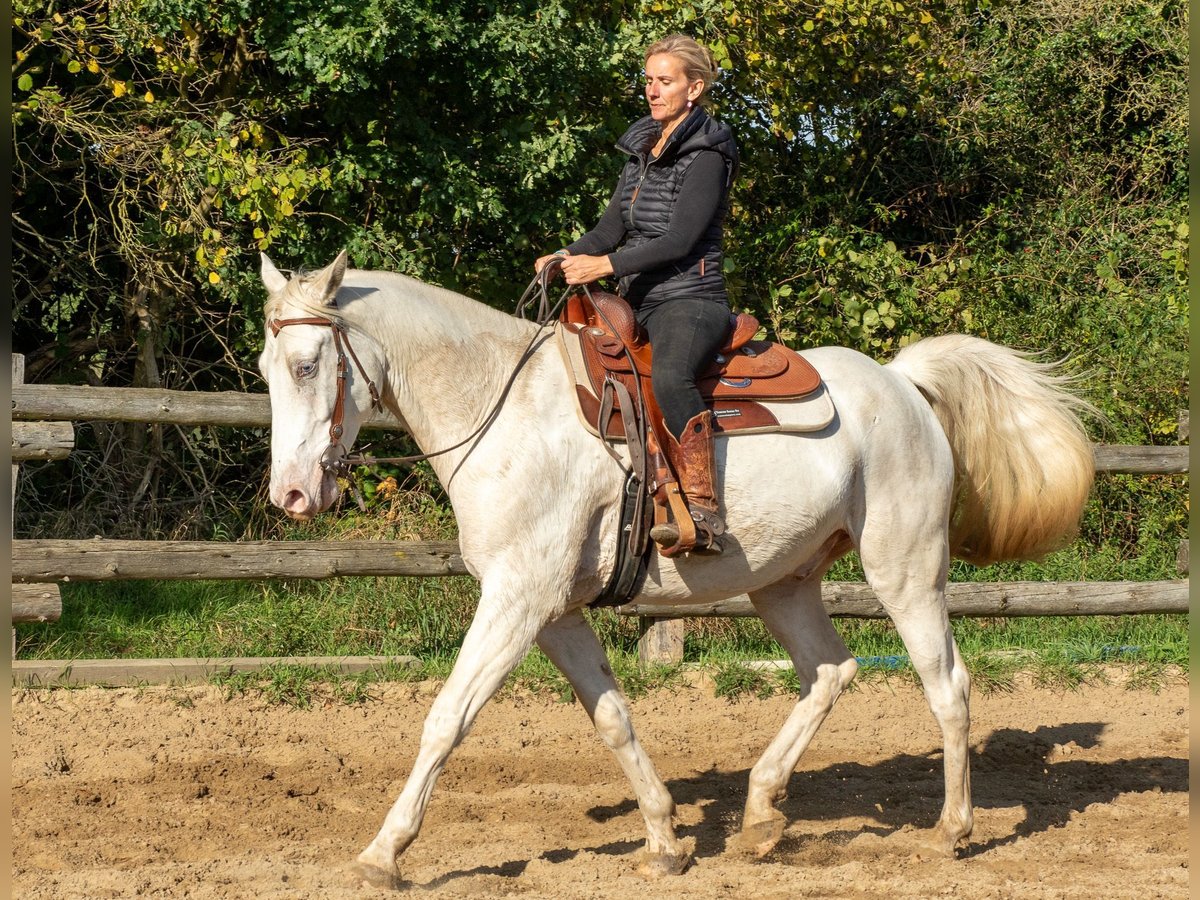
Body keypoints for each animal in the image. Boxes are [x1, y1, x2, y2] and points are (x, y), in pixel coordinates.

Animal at [258, 250, 1094, 892]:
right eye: (266, 370)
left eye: (307, 365)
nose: (291, 494)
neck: (505, 412)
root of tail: (900, 382)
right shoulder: (553, 611)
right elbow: (612, 718)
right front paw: (664, 840)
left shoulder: (517, 601)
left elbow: (446, 718)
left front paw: (383, 852)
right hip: (783, 584)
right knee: (830, 672)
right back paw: (760, 814)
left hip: (906, 570)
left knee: (946, 686)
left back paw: (951, 830)